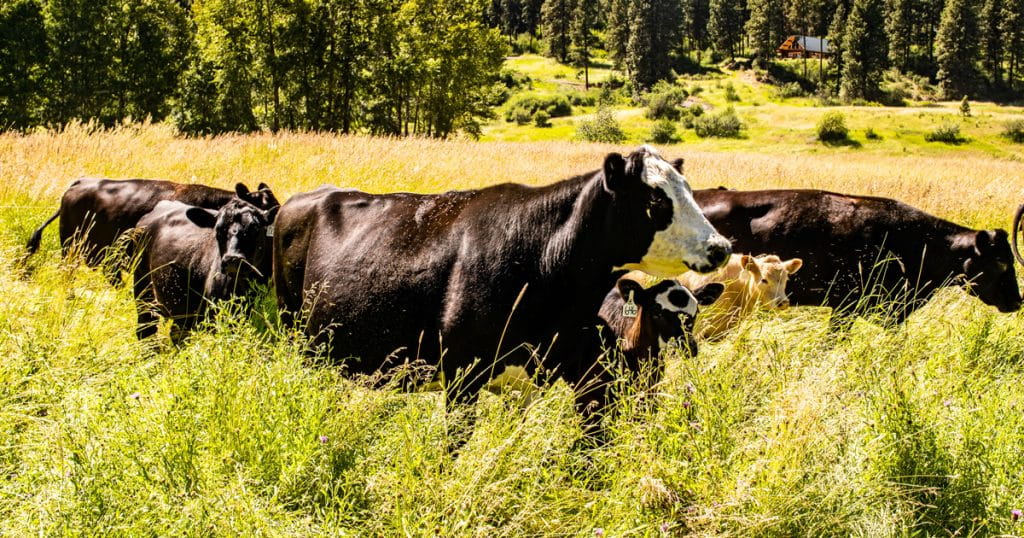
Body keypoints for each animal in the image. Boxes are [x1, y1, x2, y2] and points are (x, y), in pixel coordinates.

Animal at [273, 145, 732, 423]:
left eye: (690, 190)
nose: (722, 247)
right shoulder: (462, 377)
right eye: (656, 199)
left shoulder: (534, 381)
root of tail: (308, 195)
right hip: (295, 332)